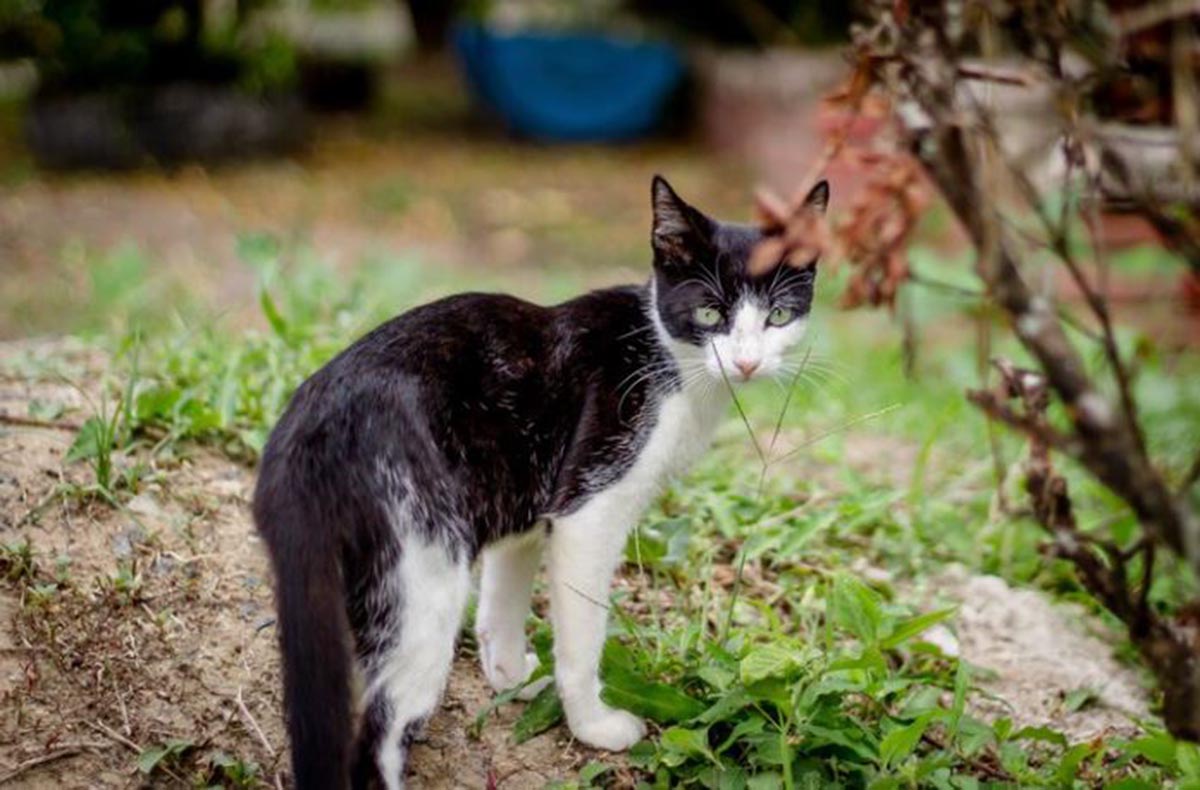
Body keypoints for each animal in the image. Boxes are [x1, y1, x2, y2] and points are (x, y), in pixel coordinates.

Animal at [253, 175, 830, 782]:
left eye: (779, 316)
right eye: (710, 316)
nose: (746, 363)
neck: (668, 359)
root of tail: (307, 429)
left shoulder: (528, 495)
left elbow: (502, 601)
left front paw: (512, 677)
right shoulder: (587, 504)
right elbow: (581, 637)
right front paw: (592, 724)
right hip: (421, 570)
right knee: (375, 735)